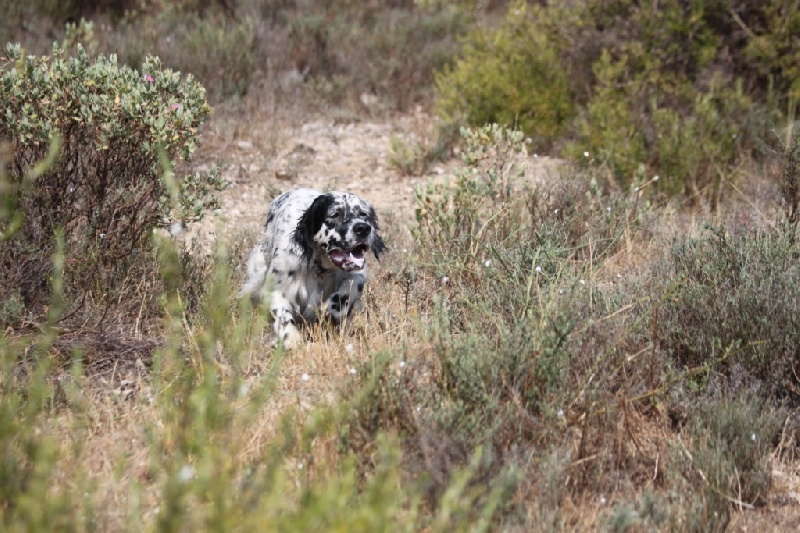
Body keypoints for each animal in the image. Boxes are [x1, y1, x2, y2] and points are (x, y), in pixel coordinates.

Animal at [239, 189, 386, 348]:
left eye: (363, 214)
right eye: (335, 214)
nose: (363, 228)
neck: (319, 265)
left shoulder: (357, 273)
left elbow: (350, 289)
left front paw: (331, 311)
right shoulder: (276, 287)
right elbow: (282, 313)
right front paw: (290, 338)